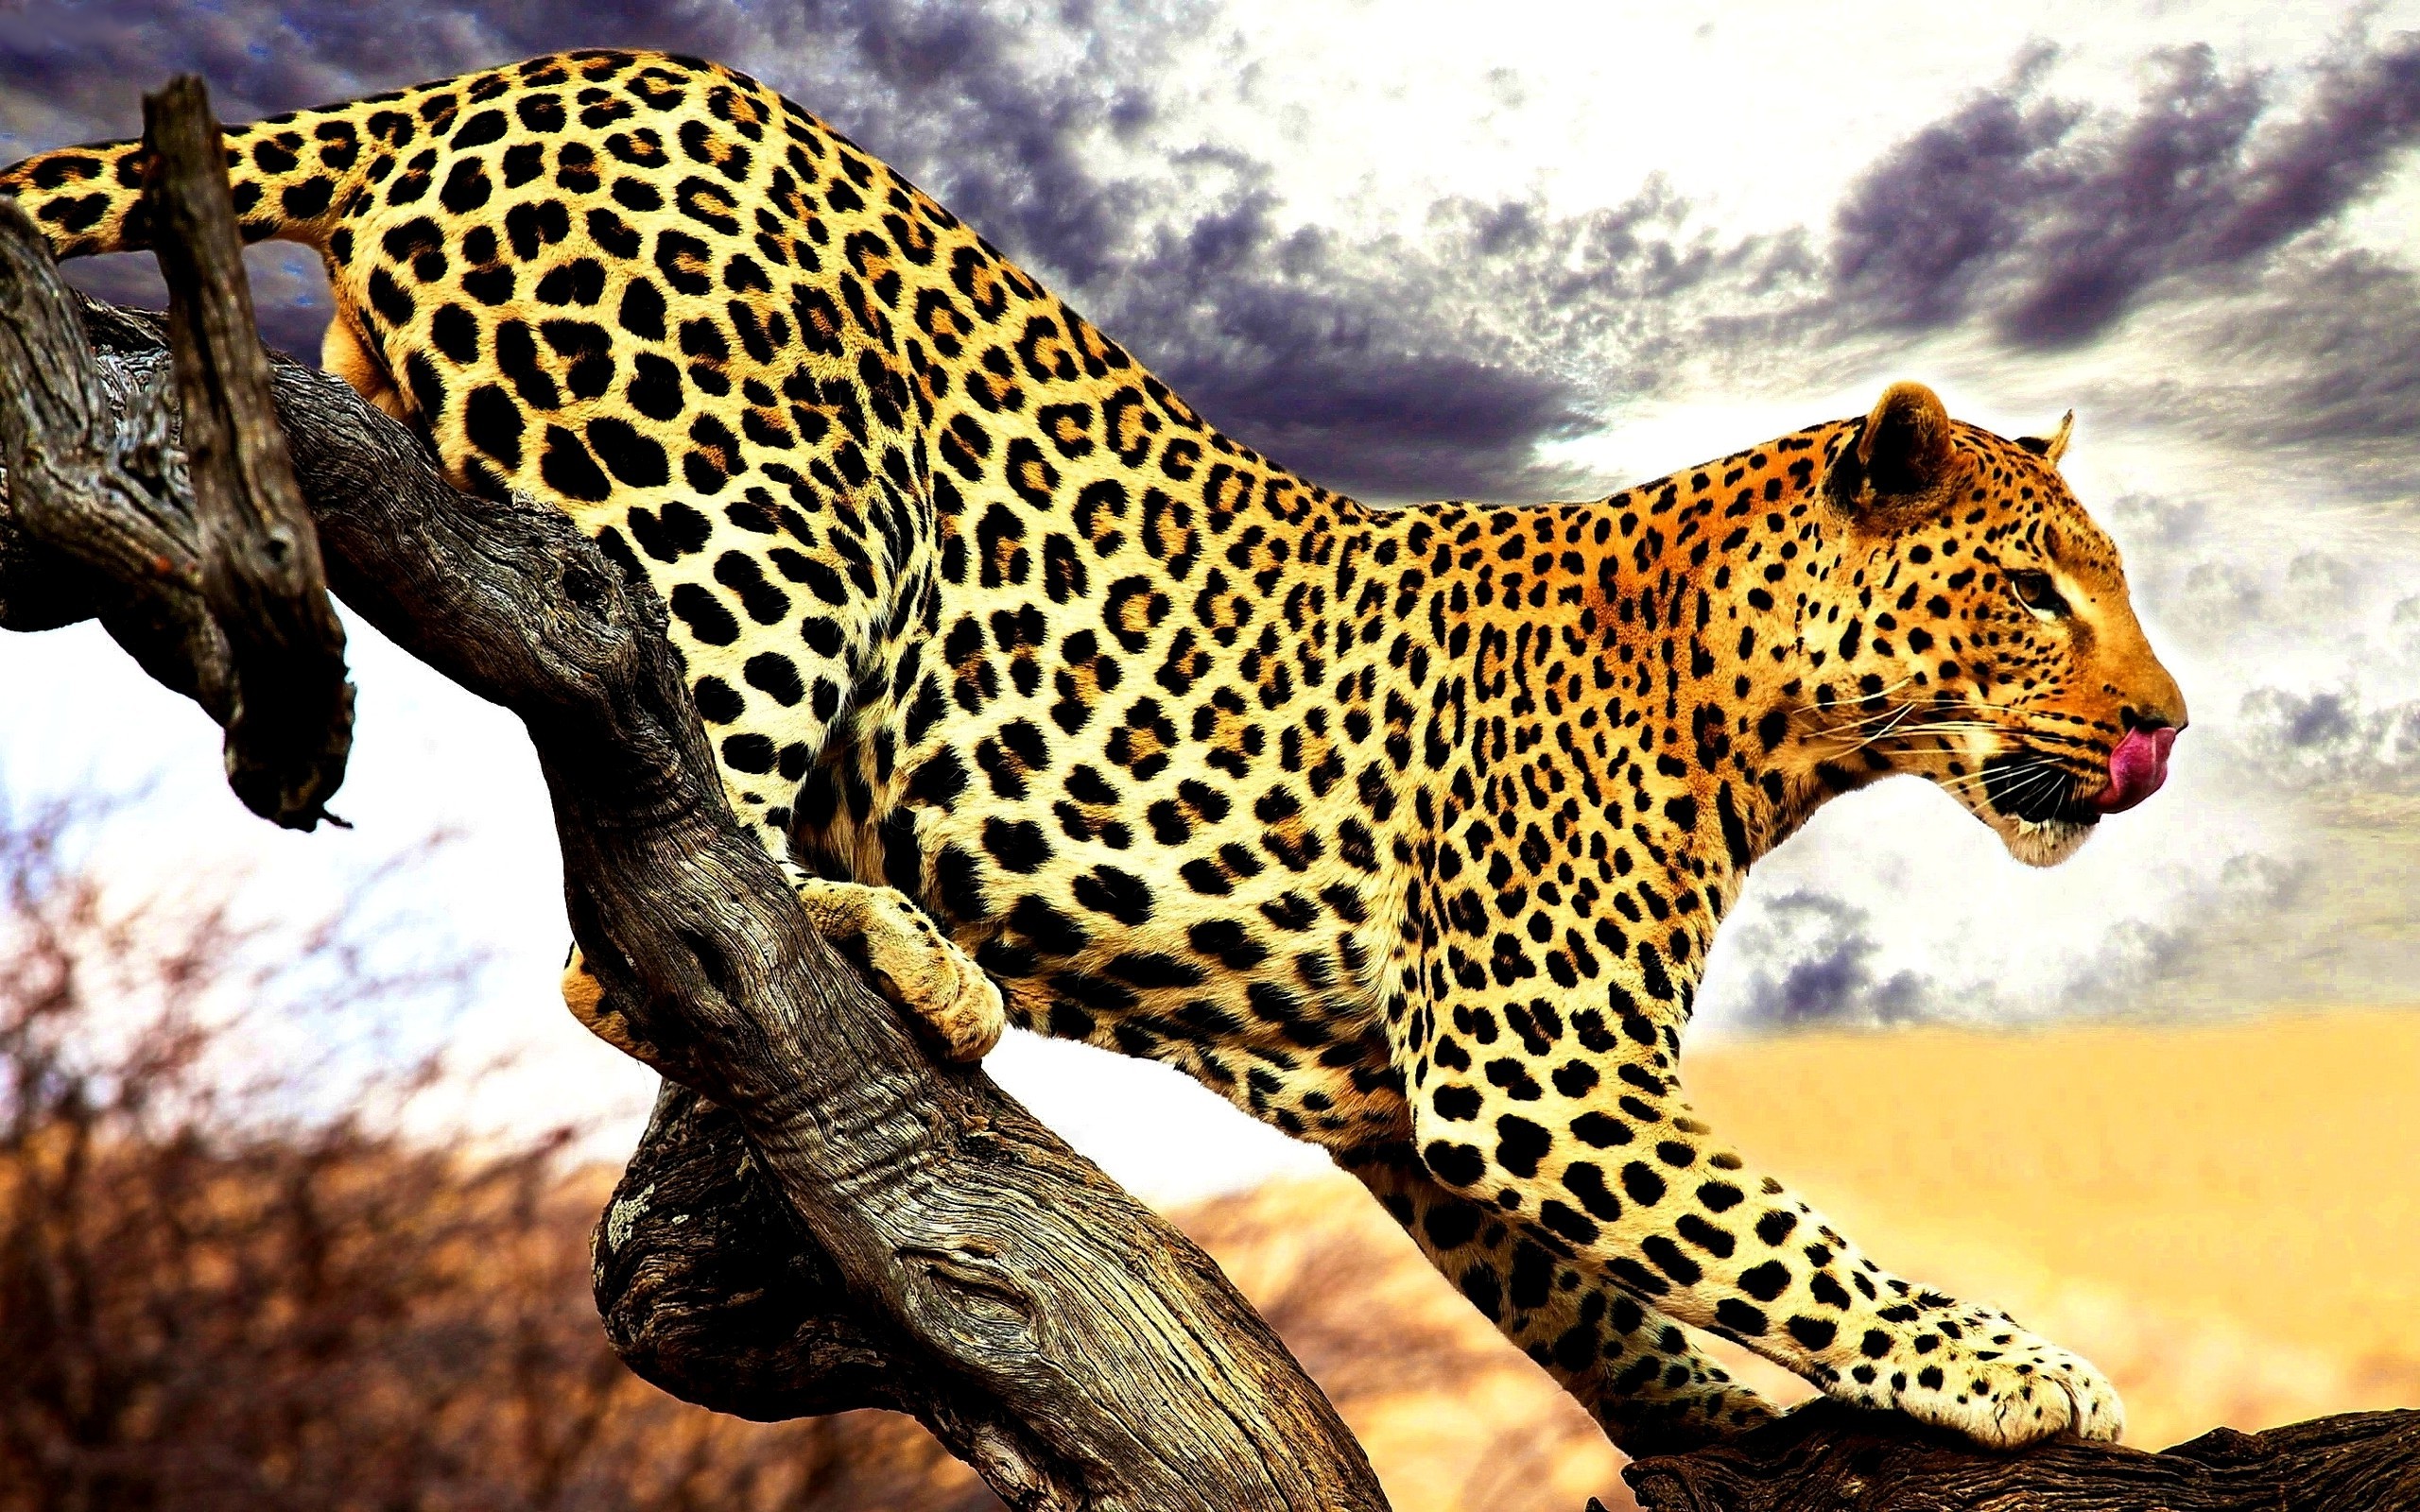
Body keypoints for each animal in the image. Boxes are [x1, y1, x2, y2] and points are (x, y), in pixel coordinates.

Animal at [5, 49, 2189, 1456]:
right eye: (2037, 589)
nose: (2166, 728)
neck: (1762, 712)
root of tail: (498, 81)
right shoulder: (1530, 1067)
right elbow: (1779, 1238)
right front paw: (2019, 1372)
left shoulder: (1406, 1101)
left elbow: (1600, 1297)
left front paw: (1718, 1419)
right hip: (761, 515)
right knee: (634, 905)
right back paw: (898, 951)